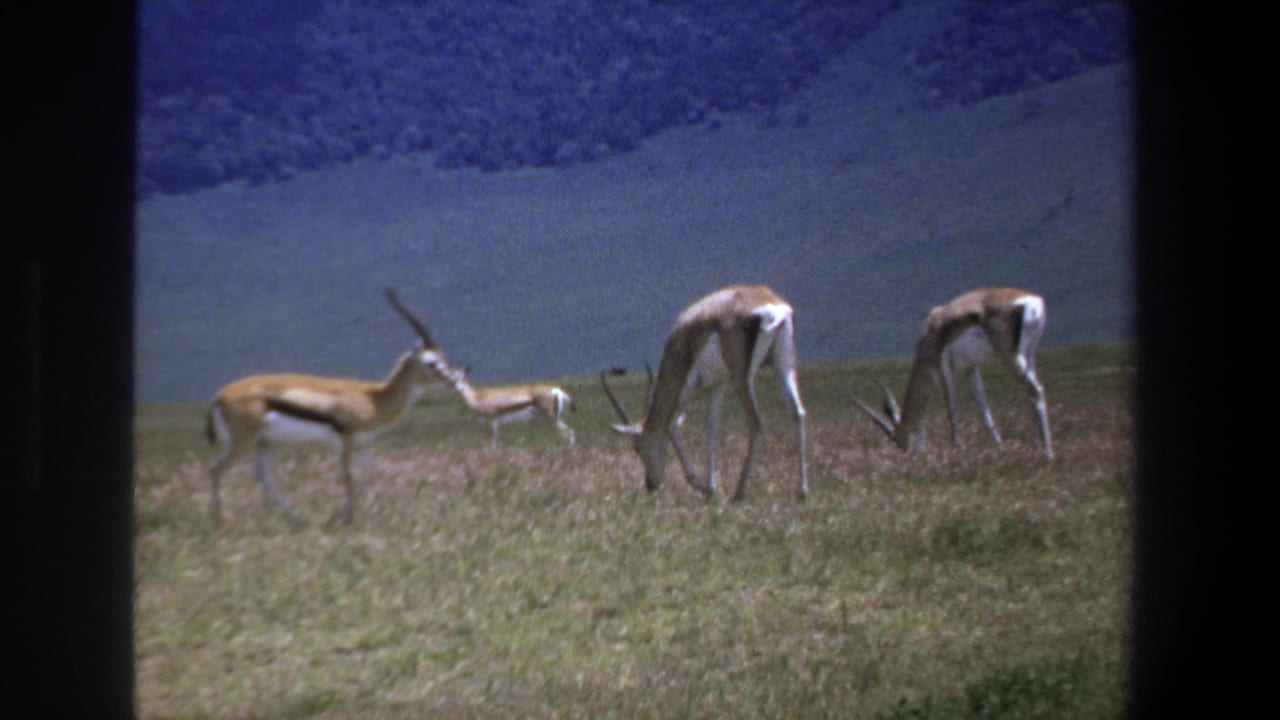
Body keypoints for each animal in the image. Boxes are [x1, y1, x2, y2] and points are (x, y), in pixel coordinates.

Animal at [204, 288, 457, 529]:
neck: (373, 398)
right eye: (431, 362)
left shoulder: (360, 445)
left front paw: (334, 518)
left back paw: (299, 521)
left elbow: (372, 473)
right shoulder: (344, 443)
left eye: (443, 356)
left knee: (264, 477)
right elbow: (349, 477)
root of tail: (219, 396)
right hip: (243, 443)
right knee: (215, 470)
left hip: (264, 443)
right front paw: (348, 522)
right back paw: (218, 526)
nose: (452, 380)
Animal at [441, 366, 576, 449]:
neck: (479, 397)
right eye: (452, 378)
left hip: (552, 419)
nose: (455, 387)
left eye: (461, 378)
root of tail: (556, 390)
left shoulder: (494, 420)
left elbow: (494, 442)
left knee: (570, 432)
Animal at [601, 284, 808, 501]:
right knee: (797, 412)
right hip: (783, 366)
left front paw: (700, 485)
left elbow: (672, 426)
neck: (683, 343)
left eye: (637, 448)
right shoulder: (718, 384)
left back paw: (739, 491)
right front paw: (711, 487)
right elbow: (710, 427)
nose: (651, 484)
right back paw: (802, 490)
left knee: (755, 421)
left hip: (742, 378)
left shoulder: (688, 388)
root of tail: (772, 305)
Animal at [852, 287, 1053, 459]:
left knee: (1035, 390)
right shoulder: (971, 368)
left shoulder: (943, 367)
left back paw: (1048, 453)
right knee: (1031, 394)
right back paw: (1038, 447)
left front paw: (955, 447)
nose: (910, 455)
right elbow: (983, 409)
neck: (932, 329)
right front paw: (999, 447)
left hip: (1010, 356)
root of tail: (1031, 301)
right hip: (1029, 354)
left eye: (897, 439)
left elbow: (951, 408)